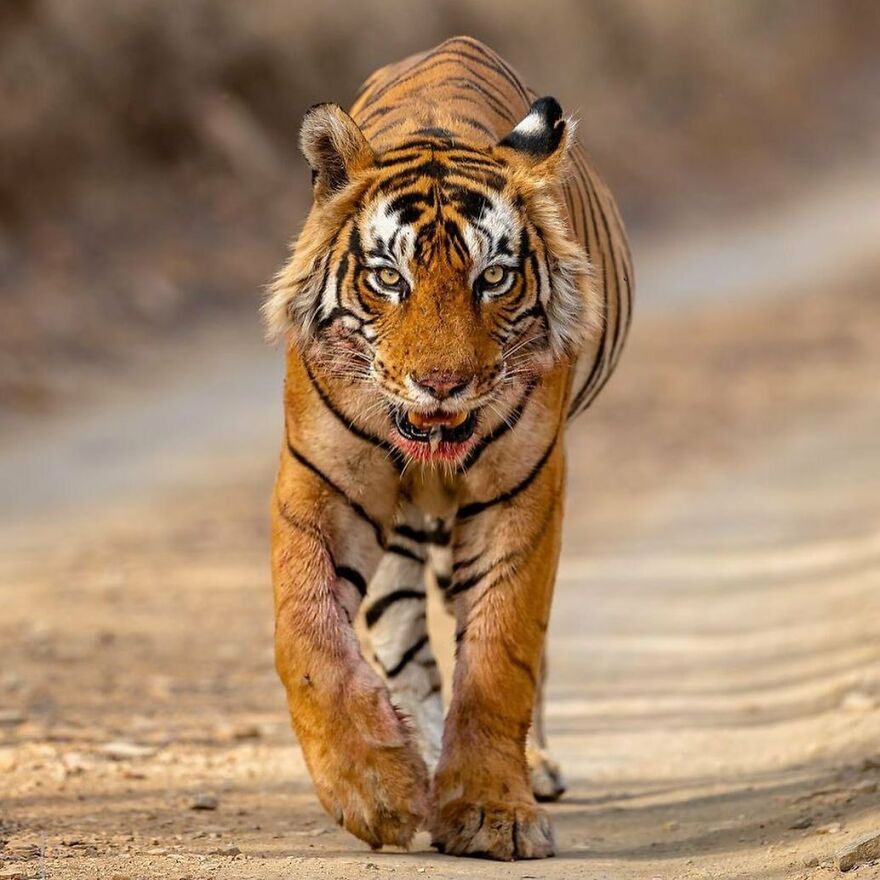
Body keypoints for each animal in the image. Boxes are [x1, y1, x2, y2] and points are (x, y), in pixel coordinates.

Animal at [264, 36, 632, 861]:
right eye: (387, 278)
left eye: (492, 277)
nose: (441, 384)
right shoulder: (324, 483)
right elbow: (309, 639)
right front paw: (375, 792)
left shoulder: (522, 488)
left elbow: (500, 651)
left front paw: (494, 812)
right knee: (402, 636)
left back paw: (528, 766)